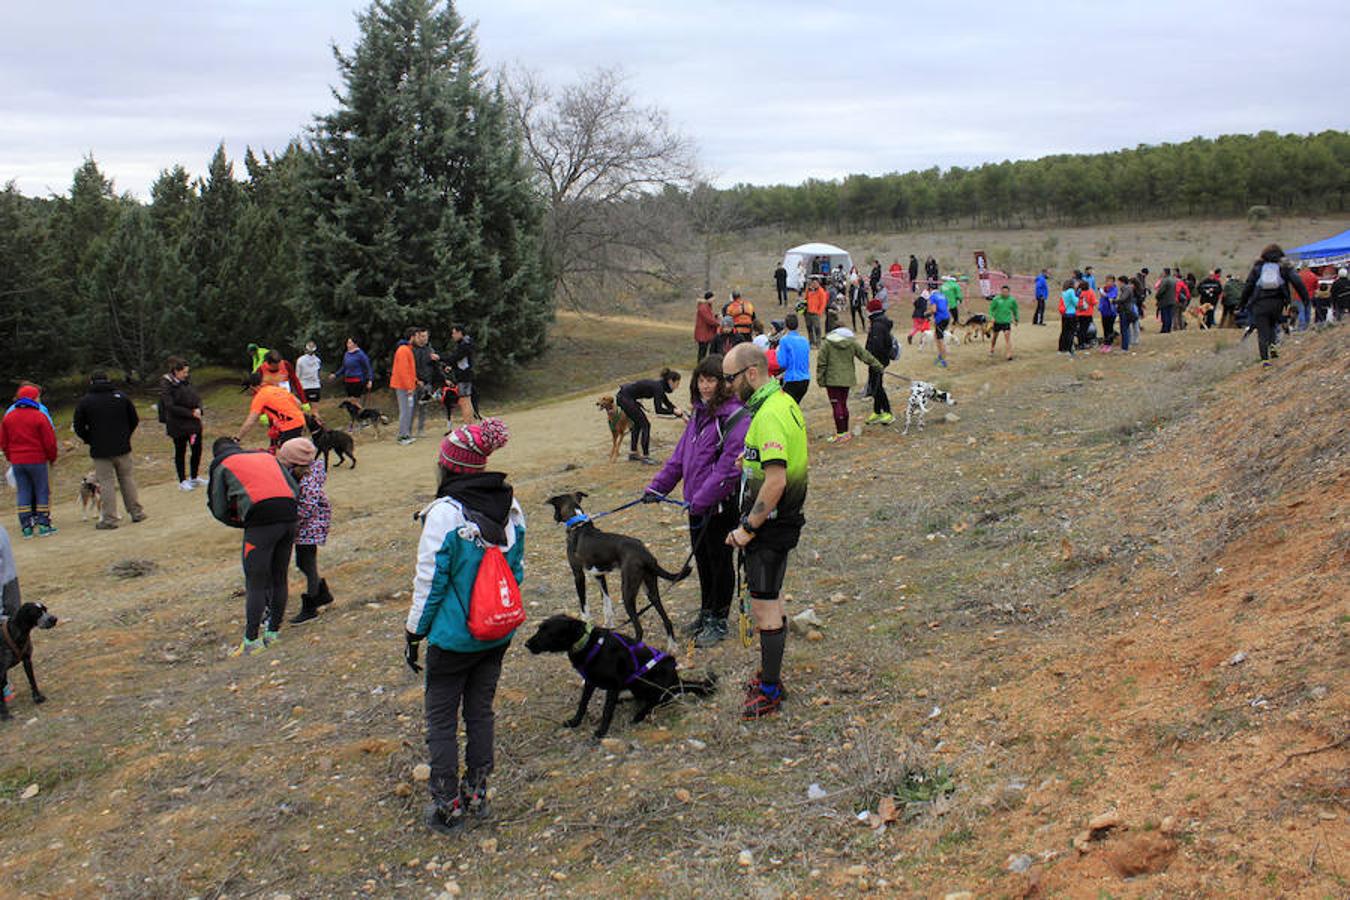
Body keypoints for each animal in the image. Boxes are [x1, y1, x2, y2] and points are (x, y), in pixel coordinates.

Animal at [523, 620, 718, 739]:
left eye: (548, 632)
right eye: (539, 628)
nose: (526, 643)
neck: (587, 643)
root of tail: (677, 681)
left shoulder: (613, 685)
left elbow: (606, 711)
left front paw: (601, 732)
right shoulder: (590, 682)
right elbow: (582, 704)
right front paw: (575, 722)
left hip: (649, 682)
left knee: (661, 699)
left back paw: (639, 714)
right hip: (637, 685)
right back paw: (625, 701)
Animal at [545, 493, 691, 655]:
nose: (554, 518)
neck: (578, 524)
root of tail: (645, 553)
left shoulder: (578, 575)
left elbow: (584, 606)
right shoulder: (599, 575)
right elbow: (607, 604)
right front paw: (608, 626)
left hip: (627, 592)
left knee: (639, 629)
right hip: (650, 589)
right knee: (667, 620)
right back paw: (672, 646)